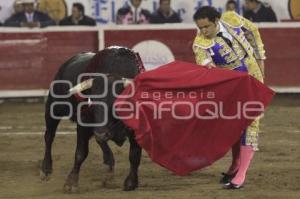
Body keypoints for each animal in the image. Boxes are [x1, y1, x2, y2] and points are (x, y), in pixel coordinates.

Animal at [40, 46, 143, 191]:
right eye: (92, 102)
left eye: (117, 102)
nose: (101, 133)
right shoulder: (83, 123)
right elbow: (81, 152)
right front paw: (71, 183)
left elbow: (134, 154)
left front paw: (131, 182)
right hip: (53, 108)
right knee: (49, 136)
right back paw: (46, 170)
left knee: (99, 140)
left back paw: (108, 166)